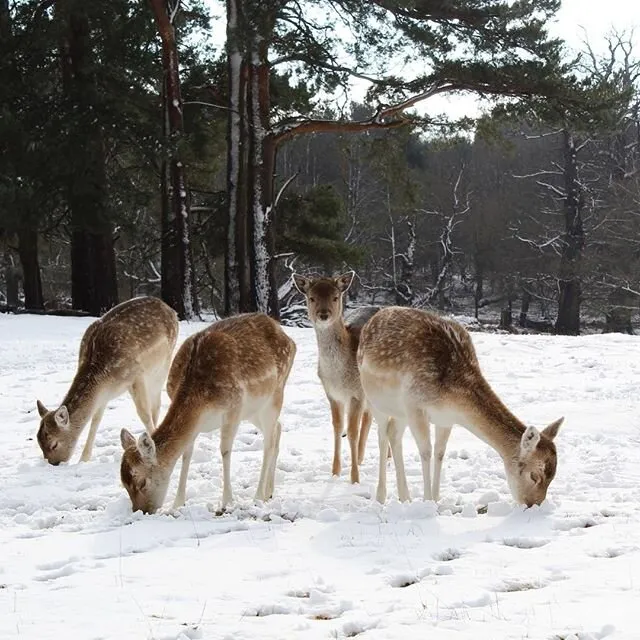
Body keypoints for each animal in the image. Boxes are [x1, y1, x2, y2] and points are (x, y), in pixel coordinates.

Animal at [36, 296, 179, 466]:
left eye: (54, 444)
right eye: (39, 444)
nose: (54, 463)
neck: (104, 377)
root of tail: (171, 310)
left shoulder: (136, 375)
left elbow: (143, 412)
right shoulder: (103, 393)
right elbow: (96, 419)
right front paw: (83, 459)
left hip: (163, 363)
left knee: (156, 402)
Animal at [119, 313, 296, 514]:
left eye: (142, 482)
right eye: (124, 484)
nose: (141, 510)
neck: (202, 401)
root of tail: (288, 339)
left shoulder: (234, 408)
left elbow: (225, 451)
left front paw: (226, 502)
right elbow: (187, 454)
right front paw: (177, 503)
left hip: (275, 394)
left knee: (268, 442)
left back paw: (259, 496)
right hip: (254, 410)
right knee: (277, 429)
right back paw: (269, 492)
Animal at [293, 271, 380, 485]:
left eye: (335, 297)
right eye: (311, 297)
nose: (323, 314)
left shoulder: (356, 393)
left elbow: (352, 432)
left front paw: (355, 479)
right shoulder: (332, 394)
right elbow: (337, 428)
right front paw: (335, 472)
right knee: (370, 418)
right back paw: (361, 457)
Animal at [357, 307, 564, 508]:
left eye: (552, 477)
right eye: (534, 475)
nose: (533, 505)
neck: (451, 396)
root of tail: (370, 322)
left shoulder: (445, 419)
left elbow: (439, 453)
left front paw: (437, 500)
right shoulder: (415, 406)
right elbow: (426, 451)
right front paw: (427, 501)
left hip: (399, 412)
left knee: (394, 434)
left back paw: (405, 497)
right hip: (375, 399)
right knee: (382, 436)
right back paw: (381, 497)